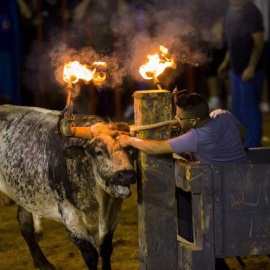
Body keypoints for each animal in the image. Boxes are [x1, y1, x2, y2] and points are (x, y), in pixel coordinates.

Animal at [0, 105, 136, 270]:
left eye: (130, 149)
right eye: (98, 151)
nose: (126, 174)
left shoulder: (112, 214)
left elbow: (105, 249)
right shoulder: (70, 216)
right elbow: (90, 254)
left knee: (25, 225)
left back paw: (42, 263)